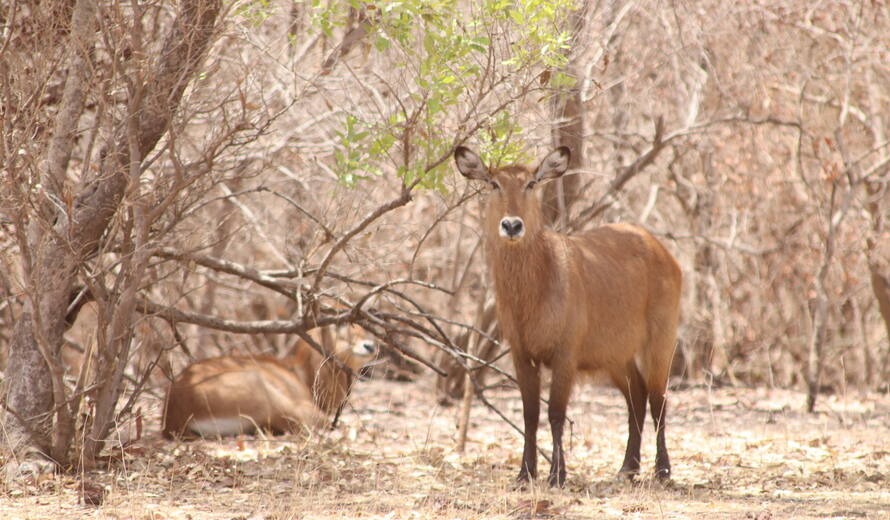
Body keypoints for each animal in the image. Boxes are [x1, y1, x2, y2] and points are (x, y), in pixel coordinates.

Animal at [454, 144, 684, 486]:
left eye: (531, 183)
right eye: (494, 183)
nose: (512, 225)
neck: (535, 288)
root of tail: (660, 248)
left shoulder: (565, 354)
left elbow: (555, 413)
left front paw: (557, 475)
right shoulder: (522, 354)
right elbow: (530, 414)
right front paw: (525, 474)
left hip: (660, 342)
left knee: (658, 400)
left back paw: (663, 472)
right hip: (615, 356)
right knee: (637, 397)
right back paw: (627, 468)